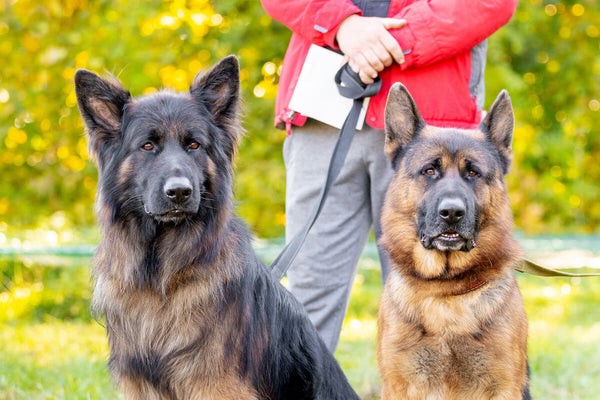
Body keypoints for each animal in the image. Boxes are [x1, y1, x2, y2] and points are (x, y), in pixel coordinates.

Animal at [378, 83, 528, 398]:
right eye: (429, 170)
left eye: (473, 172)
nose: (452, 213)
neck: (445, 290)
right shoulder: (398, 386)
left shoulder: (504, 387)